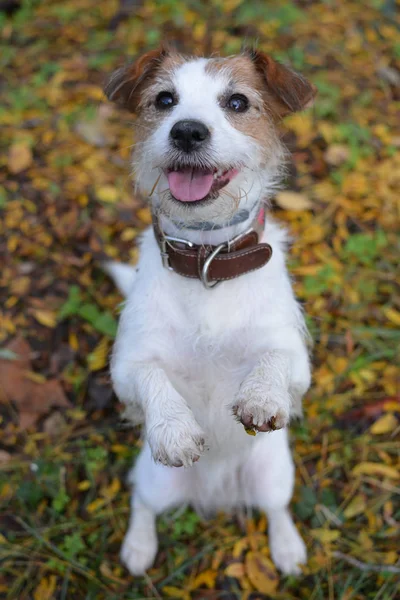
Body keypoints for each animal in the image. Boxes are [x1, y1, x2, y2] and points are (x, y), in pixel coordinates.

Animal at [104, 47, 318, 576]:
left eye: (237, 102)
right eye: (164, 99)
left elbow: (273, 361)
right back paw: (138, 548)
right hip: (154, 481)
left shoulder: (297, 363)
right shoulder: (126, 370)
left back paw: (288, 549)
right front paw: (174, 430)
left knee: (277, 509)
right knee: (142, 504)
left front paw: (260, 396)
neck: (207, 263)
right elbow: (153, 378)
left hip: (275, 475)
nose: (187, 131)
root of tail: (217, 490)